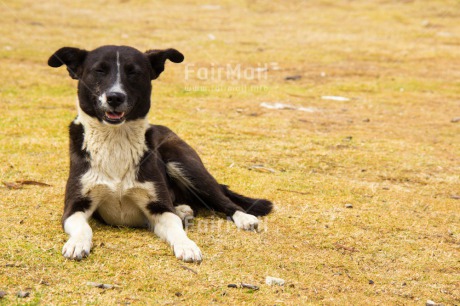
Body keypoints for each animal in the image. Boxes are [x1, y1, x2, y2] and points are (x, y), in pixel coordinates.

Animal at [48, 45, 274, 262]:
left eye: (133, 72)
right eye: (99, 70)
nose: (115, 97)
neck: (115, 139)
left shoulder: (160, 207)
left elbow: (175, 228)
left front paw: (186, 245)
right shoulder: (74, 207)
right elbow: (82, 227)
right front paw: (77, 243)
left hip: (185, 164)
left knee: (223, 200)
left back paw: (243, 217)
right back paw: (184, 210)